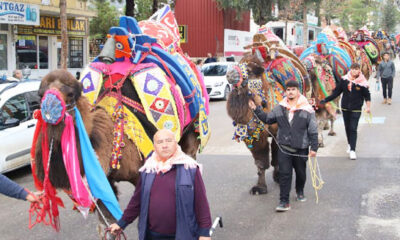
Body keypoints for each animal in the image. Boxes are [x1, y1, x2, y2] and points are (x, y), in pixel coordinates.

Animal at [30, 6, 211, 238]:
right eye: (40, 94)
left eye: (71, 93)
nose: (49, 110)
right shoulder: (103, 182)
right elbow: (108, 226)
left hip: (193, 129)